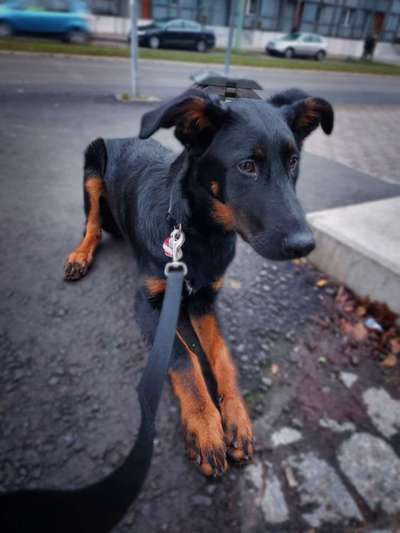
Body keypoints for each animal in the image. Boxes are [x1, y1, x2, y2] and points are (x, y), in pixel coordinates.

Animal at [65, 86, 334, 474]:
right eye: (247, 166)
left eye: (293, 162)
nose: (305, 245)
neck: (200, 234)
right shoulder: (149, 303)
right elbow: (183, 360)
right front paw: (205, 426)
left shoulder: (206, 300)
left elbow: (222, 356)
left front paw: (236, 418)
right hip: (92, 165)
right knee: (93, 224)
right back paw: (79, 255)